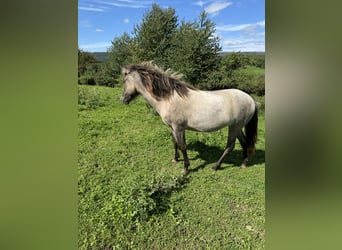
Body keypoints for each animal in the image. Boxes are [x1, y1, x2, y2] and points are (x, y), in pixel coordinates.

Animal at [121, 61, 258, 175]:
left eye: (125, 80)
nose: (123, 99)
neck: (169, 98)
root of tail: (251, 100)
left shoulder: (179, 128)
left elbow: (183, 146)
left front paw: (186, 169)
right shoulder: (172, 127)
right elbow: (175, 142)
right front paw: (175, 159)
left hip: (235, 127)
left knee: (230, 146)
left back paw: (216, 166)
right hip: (237, 127)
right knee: (244, 142)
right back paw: (243, 163)